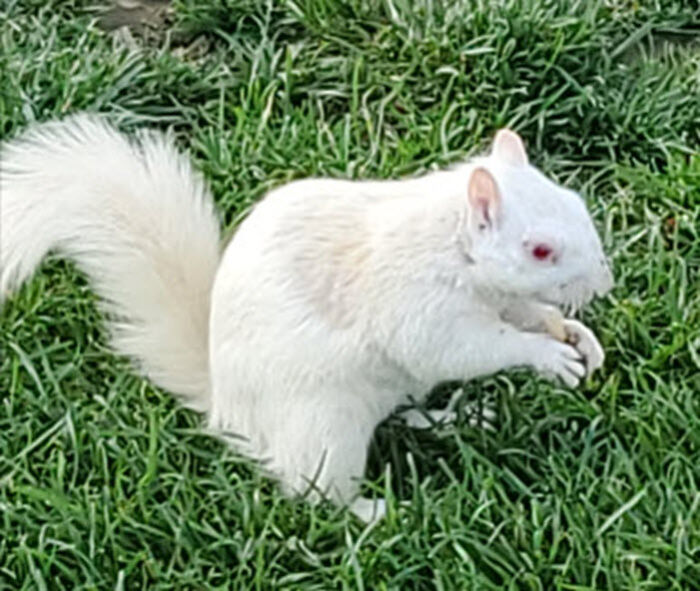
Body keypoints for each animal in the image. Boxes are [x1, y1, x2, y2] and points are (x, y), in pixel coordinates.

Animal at [0, 115, 613, 522]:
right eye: (540, 250)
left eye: (578, 203)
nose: (603, 283)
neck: (453, 248)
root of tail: (228, 413)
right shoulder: (417, 304)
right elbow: (467, 348)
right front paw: (547, 356)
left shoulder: (496, 298)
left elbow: (524, 312)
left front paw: (576, 335)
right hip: (326, 427)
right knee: (315, 491)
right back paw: (373, 511)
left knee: (407, 415)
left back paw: (457, 418)